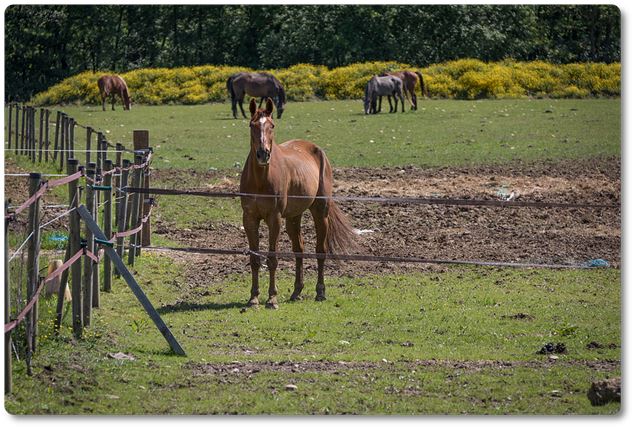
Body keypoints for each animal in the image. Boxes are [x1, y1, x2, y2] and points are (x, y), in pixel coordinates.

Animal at [240, 97, 356, 308]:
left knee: (320, 250)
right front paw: (253, 298)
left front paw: (272, 298)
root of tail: (317, 150)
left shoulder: (275, 219)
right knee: (299, 249)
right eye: (252, 125)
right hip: (294, 217)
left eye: (272, 125)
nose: (263, 154)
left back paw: (320, 292)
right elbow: (254, 259)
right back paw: (297, 291)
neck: (260, 180)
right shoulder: (249, 218)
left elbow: (272, 258)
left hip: (320, 212)